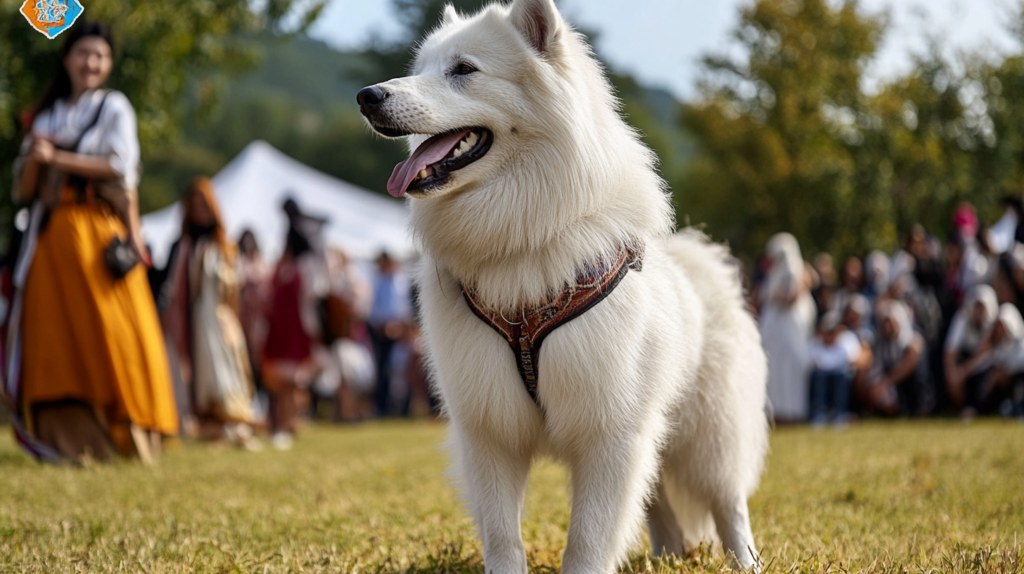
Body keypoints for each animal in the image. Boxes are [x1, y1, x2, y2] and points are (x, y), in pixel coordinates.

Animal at [360, 2, 770, 568]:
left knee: (729, 503)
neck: (519, 239)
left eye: (463, 70)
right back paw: (666, 556)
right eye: (421, 69)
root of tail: (702, 259)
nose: (367, 96)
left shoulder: (609, 428)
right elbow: (503, 536)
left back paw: (744, 561)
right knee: (659, 503)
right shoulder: (488, 428)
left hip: (709, 435)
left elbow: (589, 540)